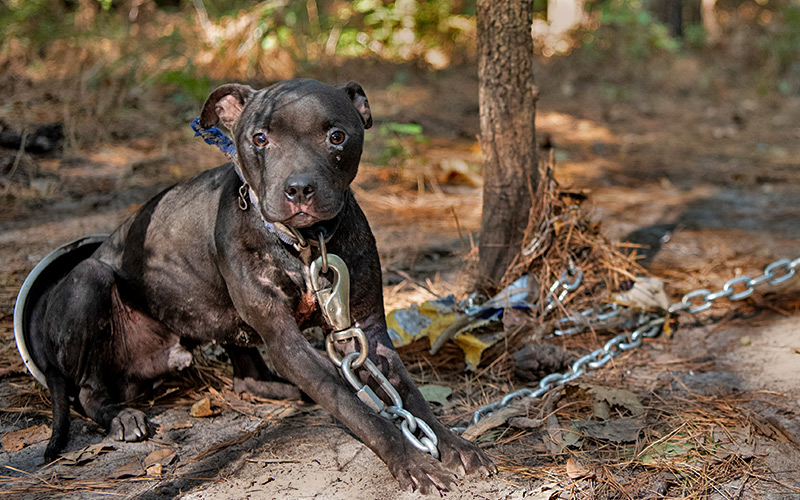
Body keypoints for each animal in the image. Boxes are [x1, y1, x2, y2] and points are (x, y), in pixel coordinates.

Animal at [20, 78, 494, 492]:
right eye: (260, 138)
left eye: (337, 136)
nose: (299, 188)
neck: (306, 243)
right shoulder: (286, 341)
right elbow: (356, 407)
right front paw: (411, 461)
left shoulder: (368, 331)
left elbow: (410, 396)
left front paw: (455, 445)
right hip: (91, 279)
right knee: (86, 391)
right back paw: (121, 417)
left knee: (245, 377)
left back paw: (287, 391)